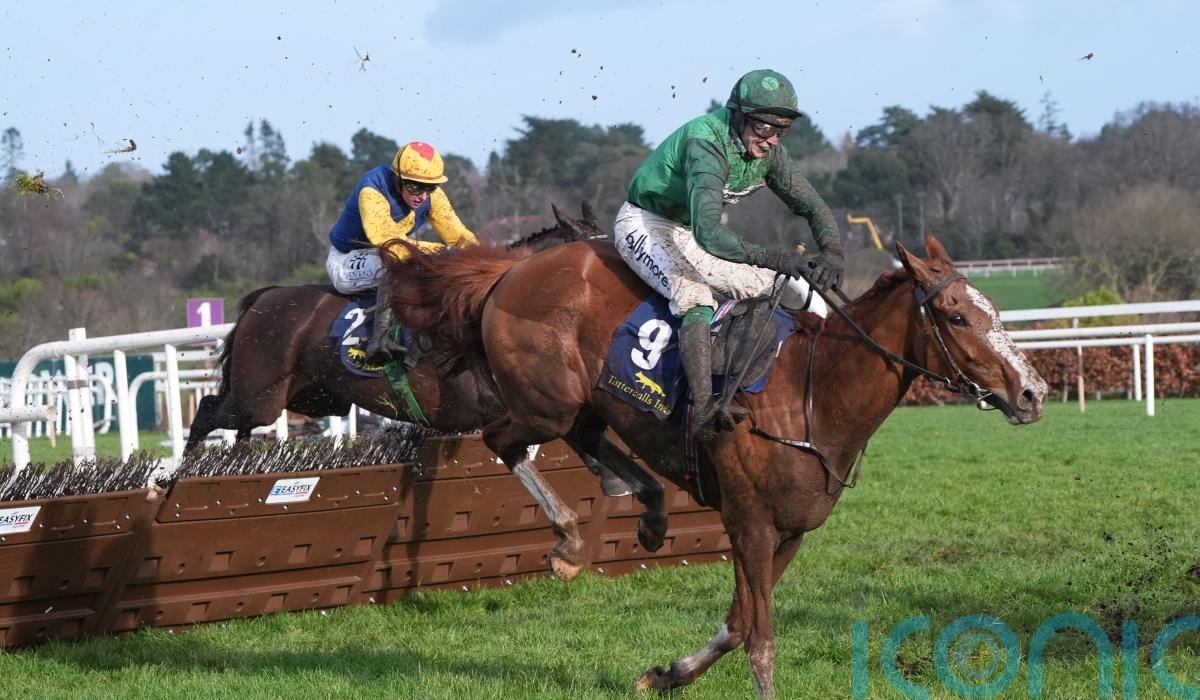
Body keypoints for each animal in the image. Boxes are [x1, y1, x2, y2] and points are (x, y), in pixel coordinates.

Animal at [185, 204, 670, 579]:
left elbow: (588, 439)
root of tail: (264, 298)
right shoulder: (513, 407)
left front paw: (617, 484)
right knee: (209, 409)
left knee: (236, 425)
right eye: (602, 264)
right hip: (261, 396)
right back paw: (186, 470)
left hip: (311, 398)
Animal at [382, 234, 1048, 696]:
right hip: (546, 399)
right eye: (958, 317)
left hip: (579, 400)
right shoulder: (749, 524)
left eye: (993, 310)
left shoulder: (791, 532)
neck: (812, 394)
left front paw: (665, 675)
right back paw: (570, 540)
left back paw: (648, 507)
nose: (1033, 392)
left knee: (586, 434)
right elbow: (760, 639)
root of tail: (512, 269)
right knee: (506, 438)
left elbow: (735, 625)